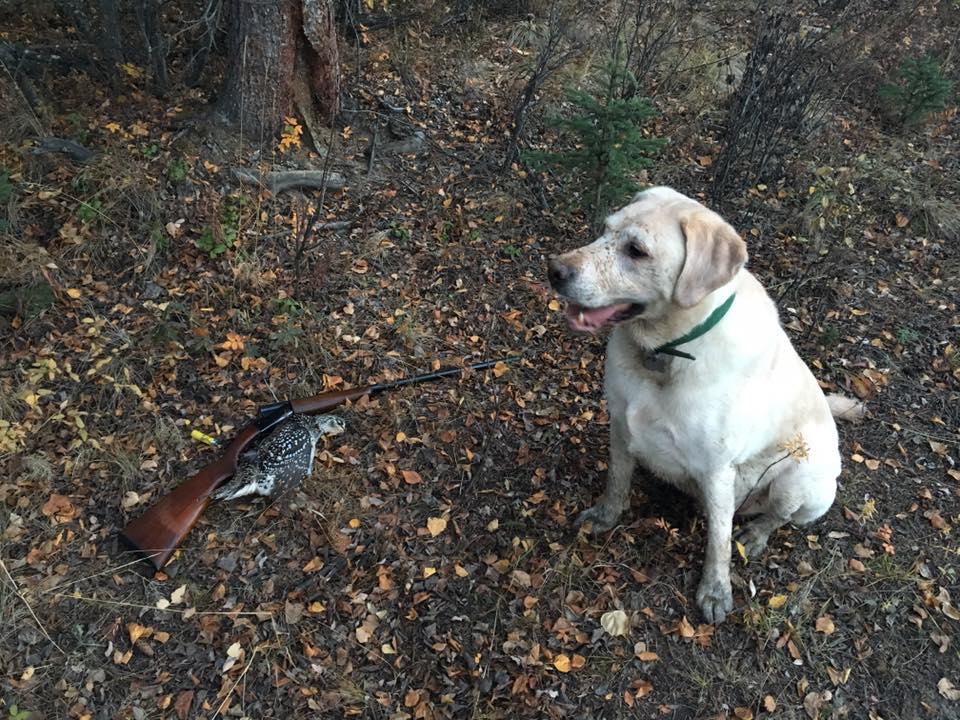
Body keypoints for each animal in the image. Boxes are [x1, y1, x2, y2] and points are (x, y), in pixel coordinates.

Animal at [548, 187, 864, 624]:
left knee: (777, 516)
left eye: (636, 250)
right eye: (604, 230)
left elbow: (719, 540)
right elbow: (617, 480)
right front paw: (605, 516)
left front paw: (715, 590)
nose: (554, 270)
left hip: (802, 480)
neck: (664, 352)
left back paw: (756, 533)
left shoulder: (717, 467)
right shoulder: (620, 423)